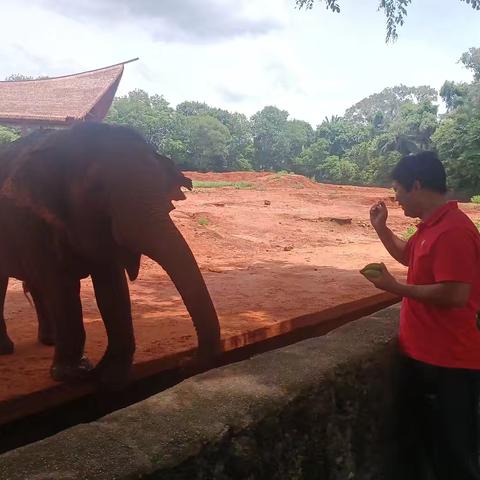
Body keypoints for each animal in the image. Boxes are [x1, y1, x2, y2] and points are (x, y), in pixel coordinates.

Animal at [0, 122, 221, 388]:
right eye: (97, 190)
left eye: (161, 188)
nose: (184, 361)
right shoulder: (32, 220)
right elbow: (61, 286)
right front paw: (74, 373)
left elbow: (111, 286)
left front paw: (108, 375)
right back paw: (6, 349)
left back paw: (48, 341)